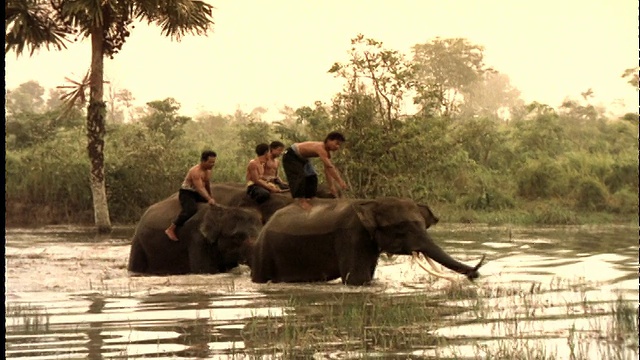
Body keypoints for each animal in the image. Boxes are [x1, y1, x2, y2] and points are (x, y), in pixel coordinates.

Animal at [250, 197, 484, 286]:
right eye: (402, 230)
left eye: (422, 225)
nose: (475, 274)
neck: (373, 202)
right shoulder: (352, 236)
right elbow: (358, 280)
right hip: (264, 252)